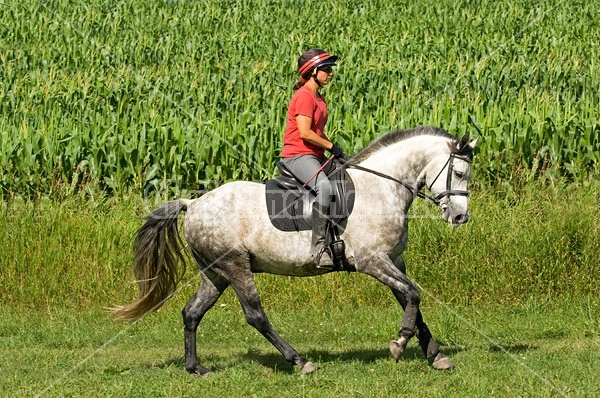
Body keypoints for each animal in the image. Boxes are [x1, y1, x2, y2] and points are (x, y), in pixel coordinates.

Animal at [111, 126, 478, 374]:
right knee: (255, 315)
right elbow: (413, 295)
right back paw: (300, 361)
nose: (460, 217)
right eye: (459, 172)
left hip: (214, 273)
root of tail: (195, 203)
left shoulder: (394, 260)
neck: (382, 186)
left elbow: (410, 301)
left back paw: (195, 368)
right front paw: (400, 343)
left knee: (192, 313)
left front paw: (435, 354)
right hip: (235, 266)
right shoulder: (373, 261)